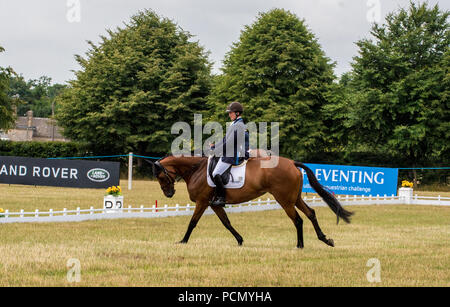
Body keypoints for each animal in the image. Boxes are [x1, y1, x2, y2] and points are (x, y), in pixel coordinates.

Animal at [149, 154, 354, 250]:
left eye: (160, 176)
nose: (168, 194)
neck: (196, 169)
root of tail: (291, 163)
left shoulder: (203, 201)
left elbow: (192, 223)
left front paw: (183, 241)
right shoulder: (214, 204)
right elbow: (226, 223)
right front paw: (240, 240)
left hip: (284, 200)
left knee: (298, 220)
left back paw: (300, 245)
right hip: (294, 198)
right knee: (311, 213)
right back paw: (325, 239)